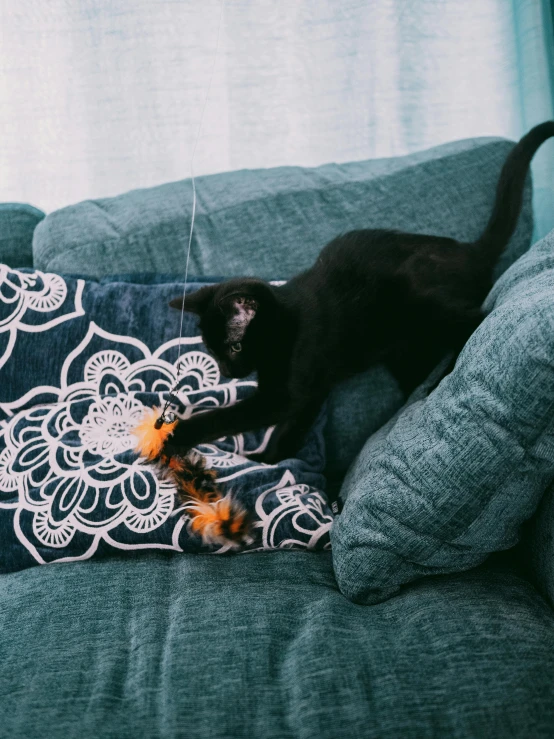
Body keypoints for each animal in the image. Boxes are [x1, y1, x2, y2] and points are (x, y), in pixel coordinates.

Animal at [165, 121, 552, 462]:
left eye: (234, 346)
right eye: (212, 351)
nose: (229, 372)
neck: (289, 324)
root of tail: (469, 252)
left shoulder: (285, 393)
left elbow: (232, 416)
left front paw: (180, 434)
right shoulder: (313, 389)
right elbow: (295, 426)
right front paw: (272, 458)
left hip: (421, 303)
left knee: (477, 319)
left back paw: (445, 376)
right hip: (402, 348)